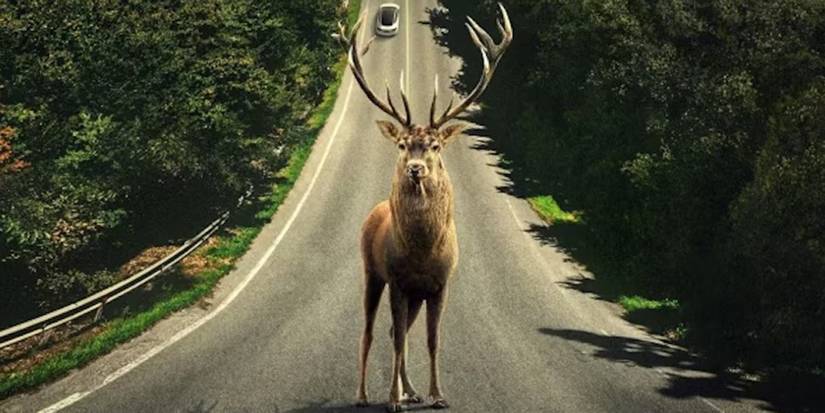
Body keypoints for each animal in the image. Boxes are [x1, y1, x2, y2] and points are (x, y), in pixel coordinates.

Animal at [340, 4, 512, 412]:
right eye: (403, 144)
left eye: (434, 145)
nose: (416, 168)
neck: (420, 252)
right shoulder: (398, 281)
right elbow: (397, 340)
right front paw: (393, 400)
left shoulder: (439, 284)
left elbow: (432, 340)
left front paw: (435, 394)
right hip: (372, 272)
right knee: (371, 331)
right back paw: (364, 394)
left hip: (414, 295)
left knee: (395, 331)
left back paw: (411, 389)